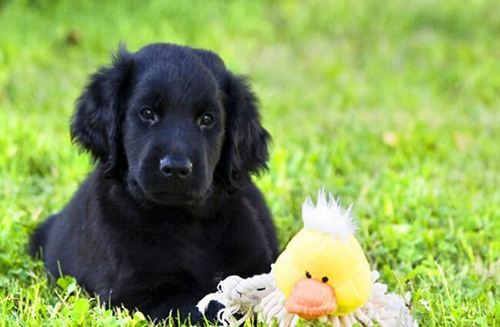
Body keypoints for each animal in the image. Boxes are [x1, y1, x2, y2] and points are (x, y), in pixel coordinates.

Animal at [30, 43, 278, 326]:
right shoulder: (140, 294)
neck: (186, 223)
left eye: (207, 119)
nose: (176, 168)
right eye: (147, 113)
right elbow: (212, 307)